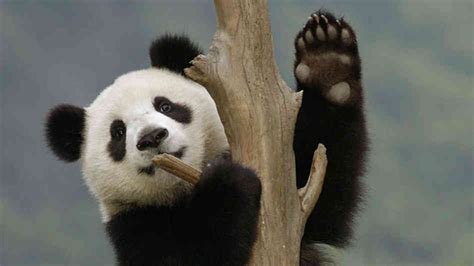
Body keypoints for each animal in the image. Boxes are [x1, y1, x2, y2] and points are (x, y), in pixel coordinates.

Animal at [45, 9, 366, 266]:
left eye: (165, 106)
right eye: (118, 133)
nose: (152, 137)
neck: (182, 189)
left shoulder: (297, 215)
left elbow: (319, 191)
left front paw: (326, 62)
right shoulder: (134, 226)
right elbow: (197, 254)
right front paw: (228, 181)